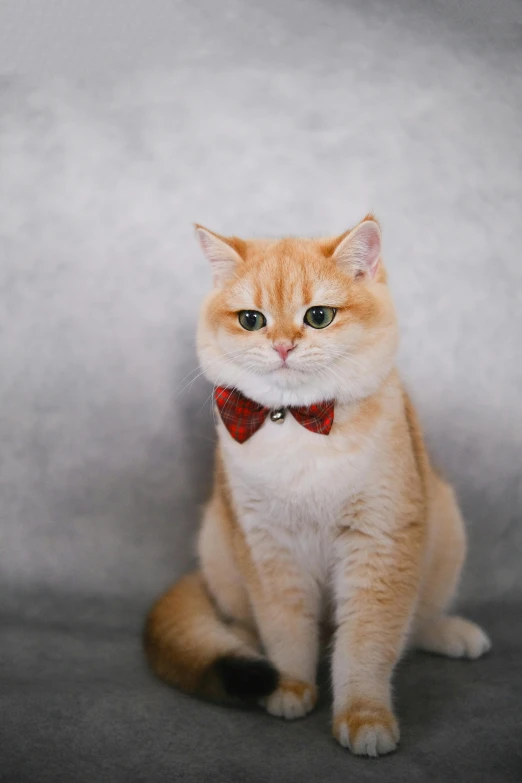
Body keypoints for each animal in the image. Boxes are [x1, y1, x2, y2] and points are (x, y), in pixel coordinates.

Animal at [144, 217, 490, 756]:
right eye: (251, 320)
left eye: (319, 316)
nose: (283, 345)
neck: (298, 424)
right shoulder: (266, 547)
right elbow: (285, 627)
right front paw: (291, 687)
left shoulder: (381, 541)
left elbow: (368, 642)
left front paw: (364, 716)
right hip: (217, 543)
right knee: (243, 625)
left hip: (445, 526)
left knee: (416, 621)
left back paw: (450, 632)